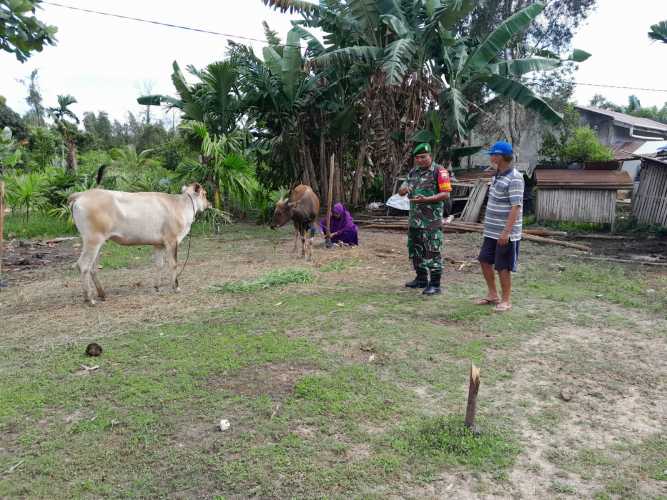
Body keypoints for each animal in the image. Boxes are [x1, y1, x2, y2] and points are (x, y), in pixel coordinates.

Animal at [69, 182, 210, 302]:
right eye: (205, 193)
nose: (209, 204)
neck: (180, 205)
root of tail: (82, 194)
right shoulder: (172, 240)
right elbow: (173, 264)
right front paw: (176, 287)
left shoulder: (158, 244)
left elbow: (159, 264)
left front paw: (157, 287)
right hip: (92, 240)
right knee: (83, 265)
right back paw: (89, 299)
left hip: (98, 243)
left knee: (93, 268)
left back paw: (102, 294)